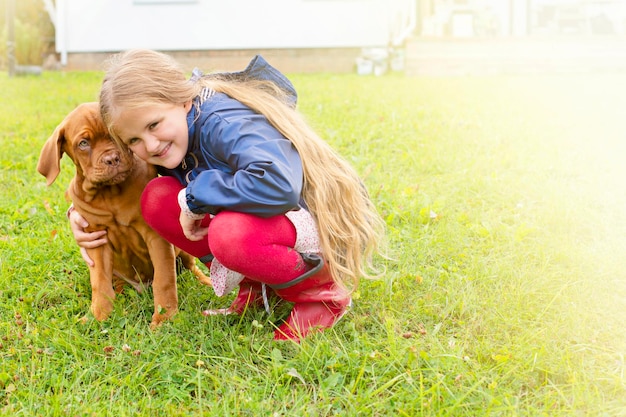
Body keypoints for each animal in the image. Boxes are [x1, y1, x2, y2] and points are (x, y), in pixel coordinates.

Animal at [37, 101, 210, 328]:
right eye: (83, 143)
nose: (112, 158)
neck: (109, 193)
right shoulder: (97, 241)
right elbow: (99, 283)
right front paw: (98, 316)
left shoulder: (155, 237)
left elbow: (164, 279)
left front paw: (164, 318)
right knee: (114, 282)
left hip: (183, 252)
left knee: (191, 267)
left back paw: (207, 283)